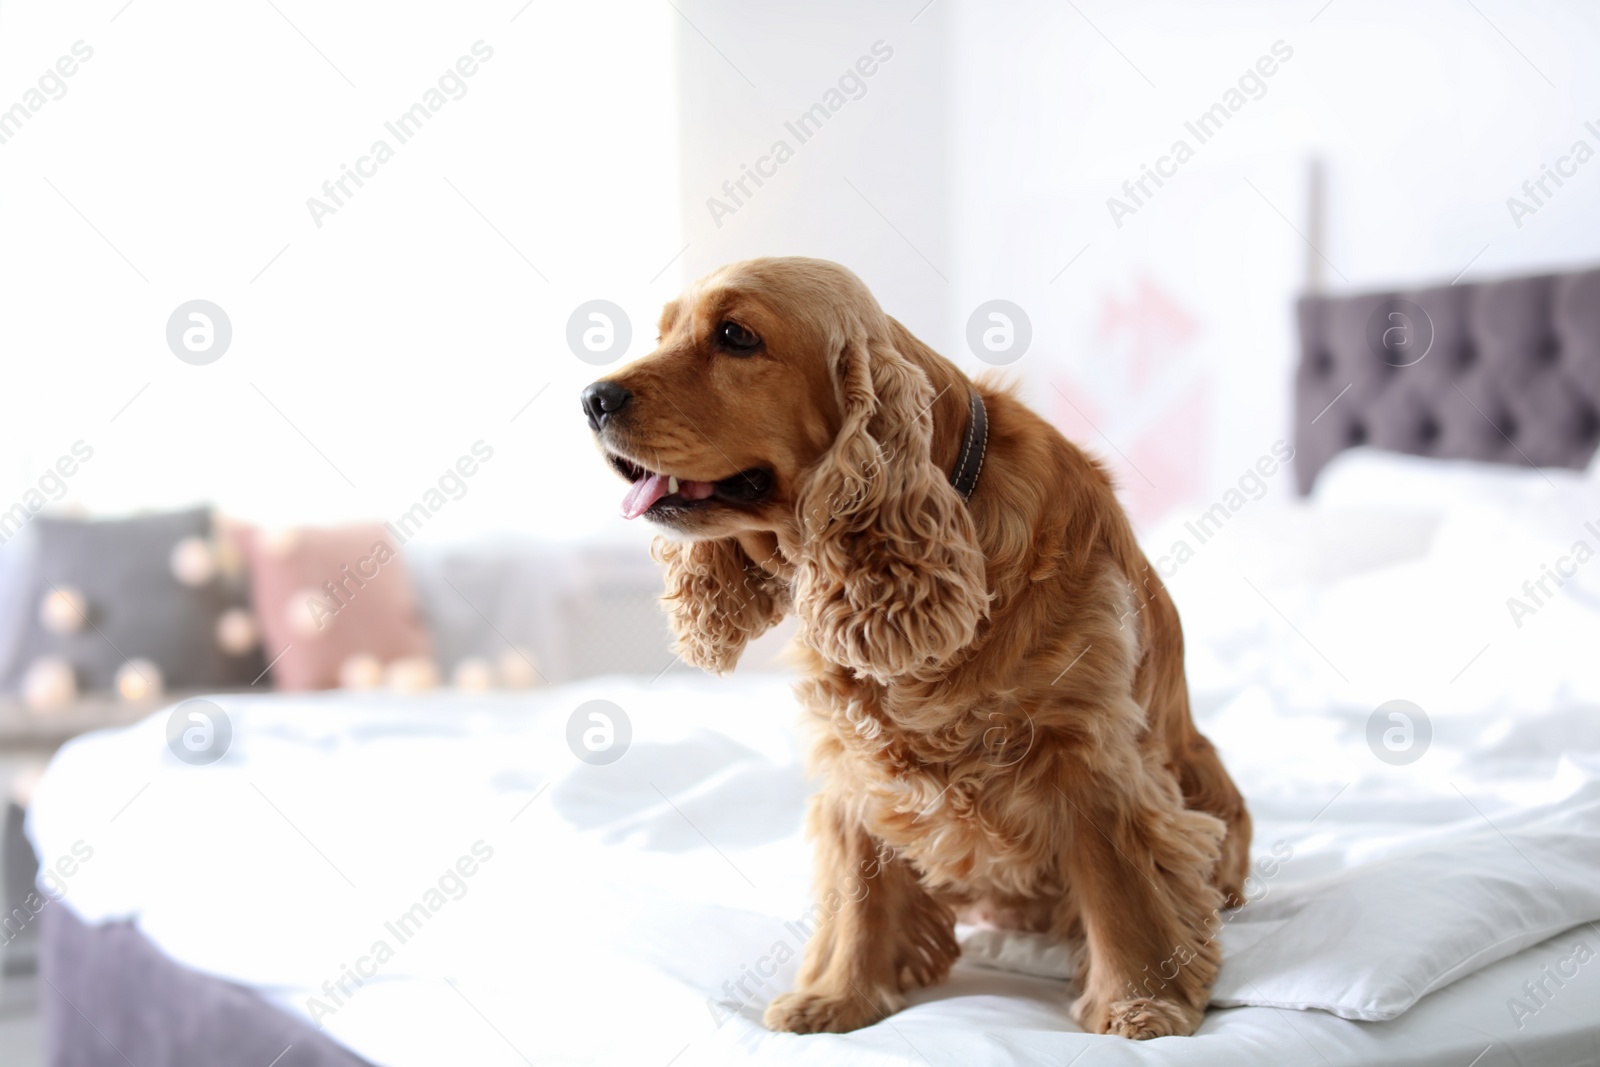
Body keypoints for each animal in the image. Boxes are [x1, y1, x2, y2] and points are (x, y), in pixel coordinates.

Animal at [582, 254, 1254, 1036]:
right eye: (663, 333)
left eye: (736, 336)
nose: (592, 397)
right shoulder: (855, 762)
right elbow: (859, 891)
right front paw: (838, 995)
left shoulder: (1089, 751)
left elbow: (1119, 884)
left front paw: (1140, 1003)